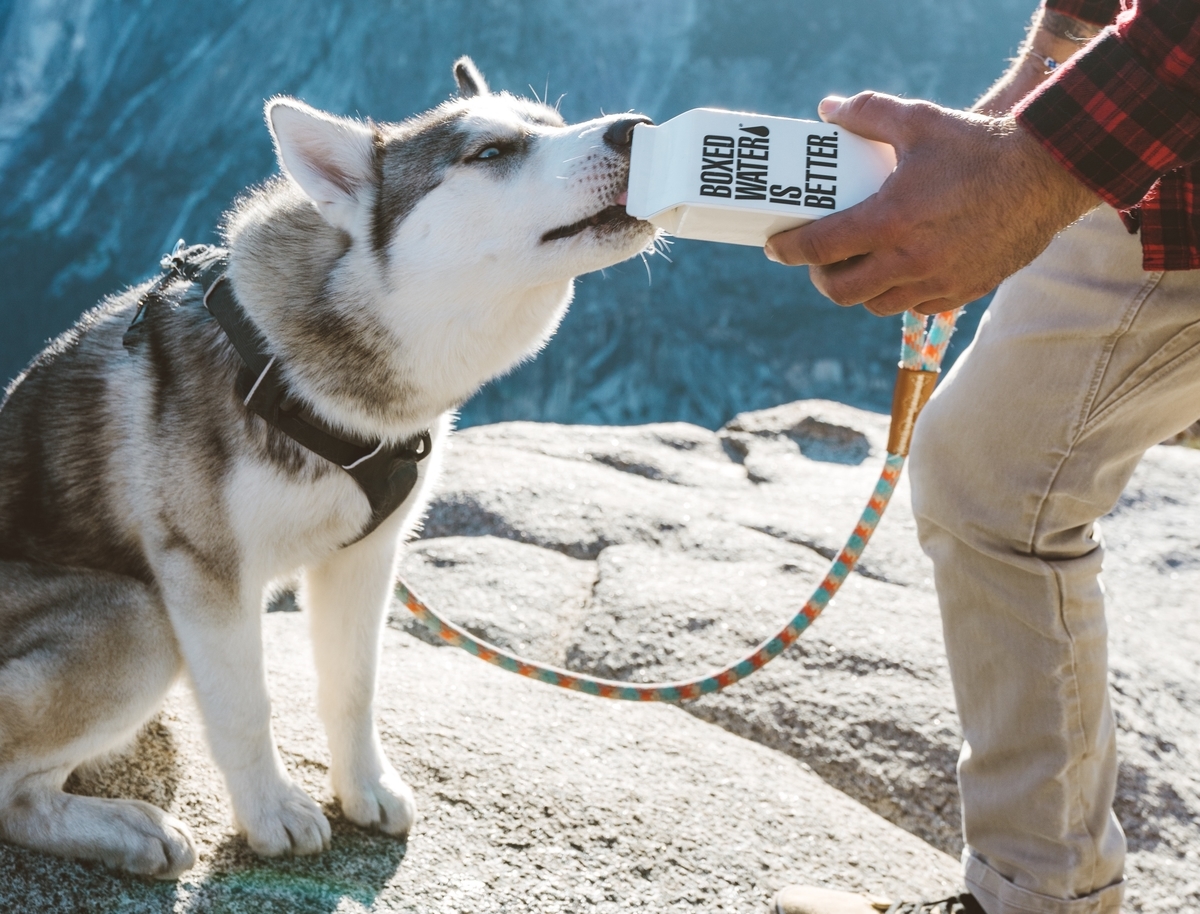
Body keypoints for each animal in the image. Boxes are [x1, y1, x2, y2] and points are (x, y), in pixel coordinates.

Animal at [0, 58, 657, 878]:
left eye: (550, 124)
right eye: (490, 153)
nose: (637, 127)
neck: (303, 377)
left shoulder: (367, 555)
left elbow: (354, 684)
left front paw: (363, 787)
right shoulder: (205, 574)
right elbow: (245, 706)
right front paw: (270, 811)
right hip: (140, 618)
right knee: (14, 796)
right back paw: (126, 829)